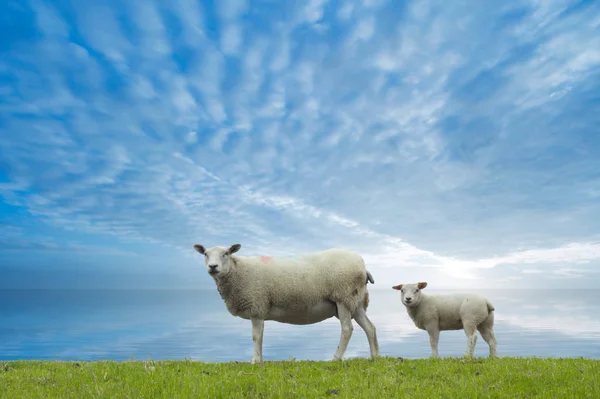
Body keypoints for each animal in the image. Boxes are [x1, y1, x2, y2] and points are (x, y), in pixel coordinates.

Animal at [193, 244, 380, 366]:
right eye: (205, 254)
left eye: (226, 253)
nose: (213, 266)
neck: (237, 271)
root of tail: (363, 266)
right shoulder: (260, 308)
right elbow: (260, 336)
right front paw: (260, 360)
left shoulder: (257, 305)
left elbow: (256, 336)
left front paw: (255, 361)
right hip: (355, 302)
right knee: (370, 328)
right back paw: (375, 357)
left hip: (343, 297)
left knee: (347, 329)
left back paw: (335, 358)